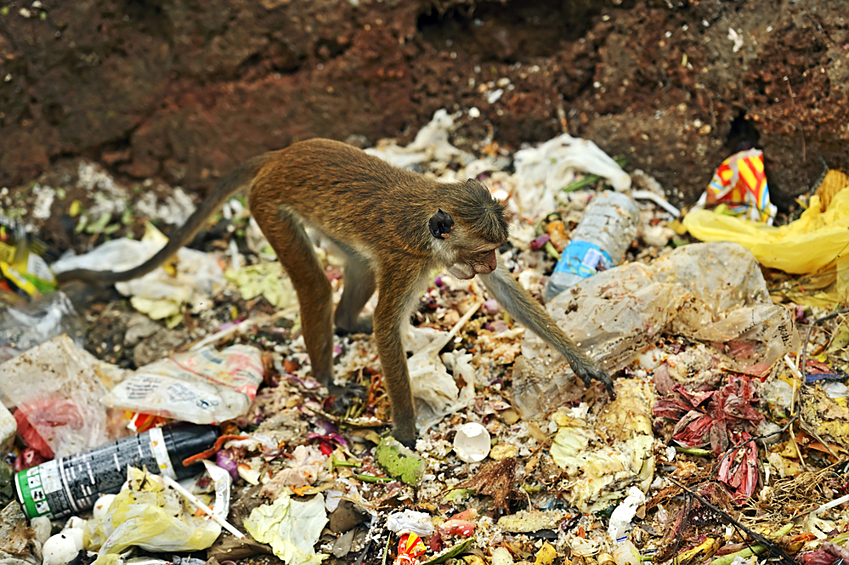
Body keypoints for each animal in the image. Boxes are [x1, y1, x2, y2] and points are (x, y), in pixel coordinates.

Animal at [61, 138, 616, 446]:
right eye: (485, 253)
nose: (494, 261)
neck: (429, 219)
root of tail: (281, 155)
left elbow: (506, 294)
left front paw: (581, 360)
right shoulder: (407, 262)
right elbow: (387, 329)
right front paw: (406, 433)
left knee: (355, 265)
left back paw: (346, 325)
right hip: (269, 206)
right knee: (315, 288)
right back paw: (327, 380)